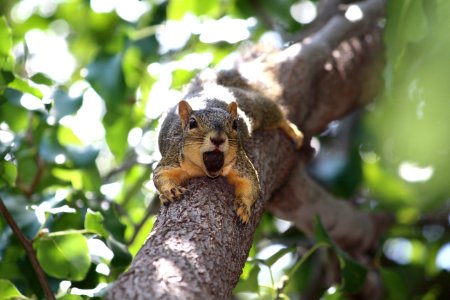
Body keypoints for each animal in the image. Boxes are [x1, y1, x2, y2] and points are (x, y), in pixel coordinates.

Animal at [153, 68, 304, 223]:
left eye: (235, 124)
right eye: (192, 123)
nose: (218, 139)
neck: (204, 171)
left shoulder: (240, 162)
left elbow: (251, 184)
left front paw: (243, 207)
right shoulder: (173, 157)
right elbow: (160, 175)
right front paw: (170, 191)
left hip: (254, 105)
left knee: (274, 114)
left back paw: (292, 130)